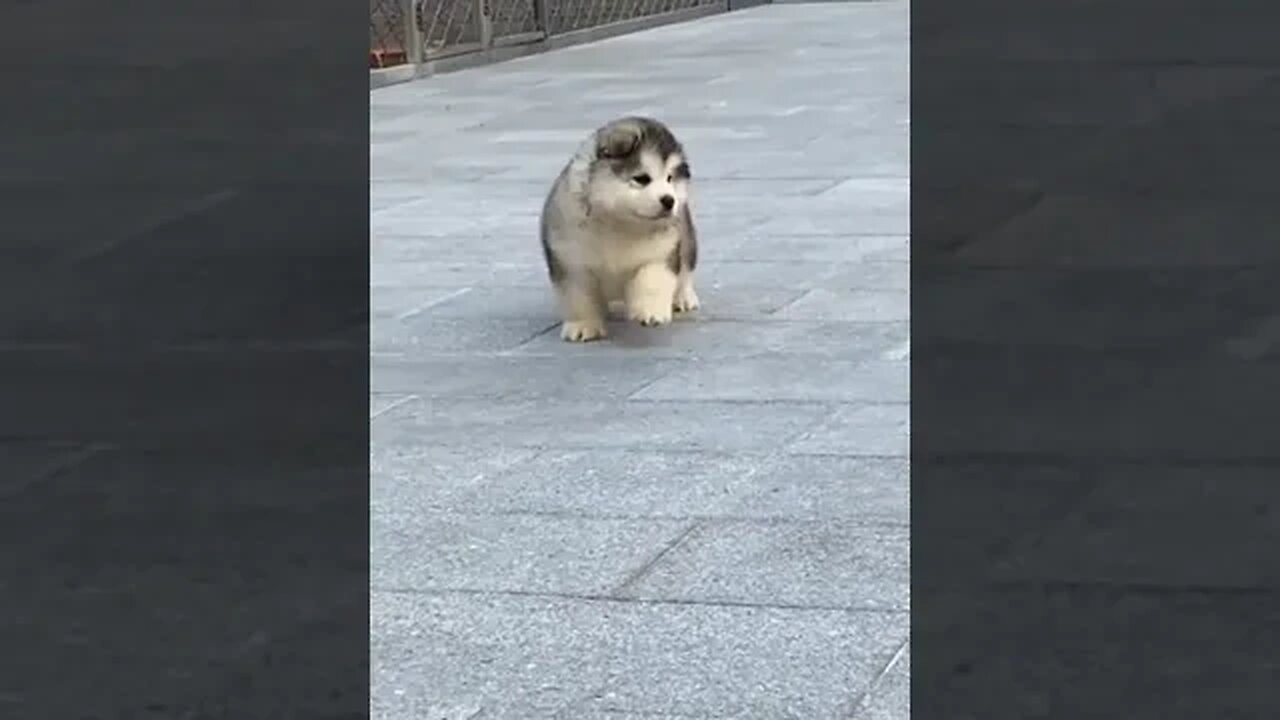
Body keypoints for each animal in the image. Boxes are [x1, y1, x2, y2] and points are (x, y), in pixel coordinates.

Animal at [537, 116, 701, 340]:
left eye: (670, 178)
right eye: (641, 179)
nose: (669, 200)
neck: (619, 222)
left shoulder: (659, 254)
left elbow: (652, 281)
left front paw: (651, 312)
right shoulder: (572, 262)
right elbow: (578, 298)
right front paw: (582, 326)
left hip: (687, 240)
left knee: (685, 272)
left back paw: (684, 298)